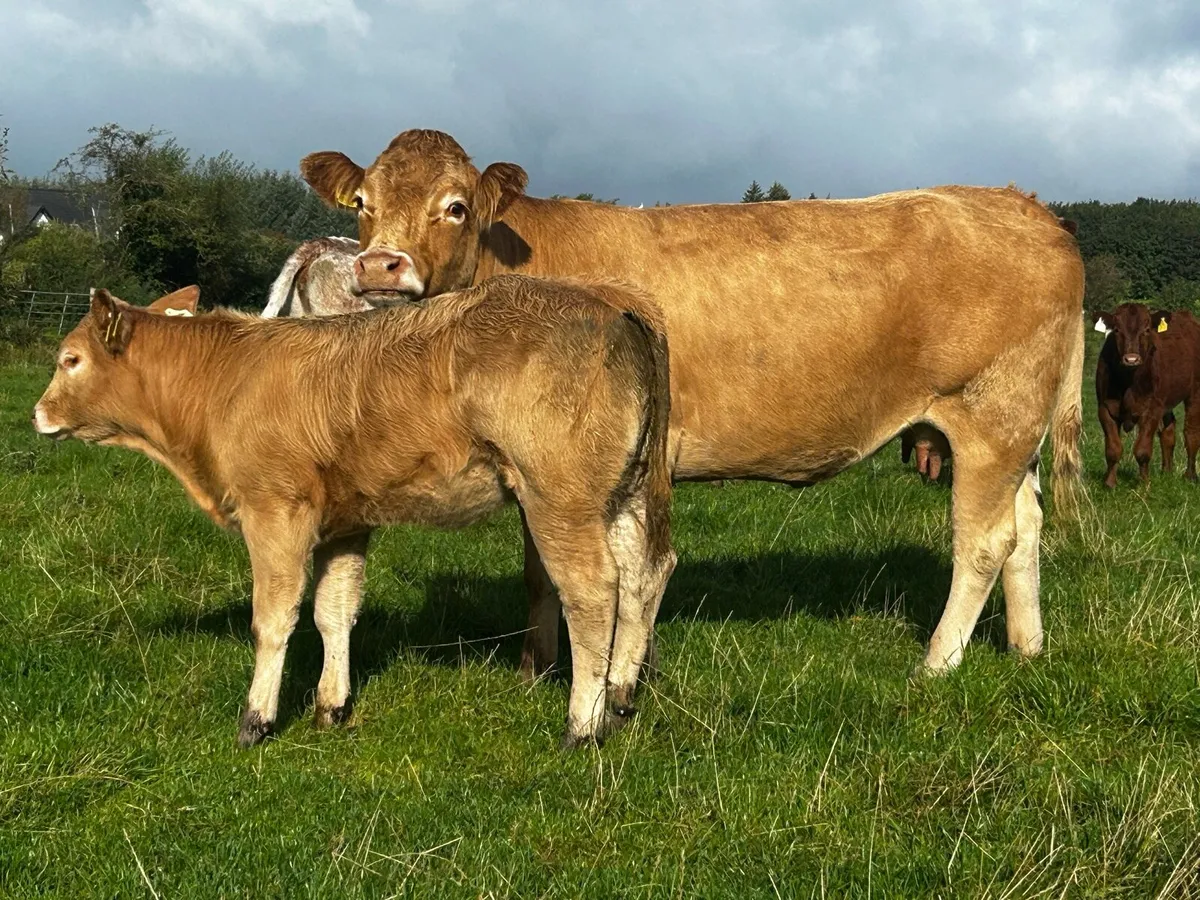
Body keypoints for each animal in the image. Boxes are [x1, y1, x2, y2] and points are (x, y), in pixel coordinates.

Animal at [32, 277, 676, 749]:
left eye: (71, 360)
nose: (36, 413)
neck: (226, 379)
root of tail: (612, 302)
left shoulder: (275, 513)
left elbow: (273, 620)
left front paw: (256, 719)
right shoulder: (345, 523)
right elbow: (333, 612)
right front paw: (332, 705)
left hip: (560, 499)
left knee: (593, 594)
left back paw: (582, 726)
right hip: (622, 495)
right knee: (646, 574)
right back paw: (620, 696)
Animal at [299, 129, 1086, 680]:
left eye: (455, 208)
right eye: (363, 205)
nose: (380, 266)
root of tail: (1023, 204)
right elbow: (539, 571)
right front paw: (536, 668)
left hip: (990, 420)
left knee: (982, 543)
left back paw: (937, 662)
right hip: (1012, 437)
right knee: (1025, 531)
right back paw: (1027, 648)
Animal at [1094, 303, 1200, 486]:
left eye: (1147, 330)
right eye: (1116, 330)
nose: (1131, 359)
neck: (1128, 381)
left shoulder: (1152, 409)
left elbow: (1142, 450)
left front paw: (1144, 484)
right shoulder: (1105, 407)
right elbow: (1113, 449)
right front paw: (1110, 483)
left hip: (1195, 393)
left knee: (1191, 434)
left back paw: (1190, 476)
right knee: (1168, 432)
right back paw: (1167, 472)